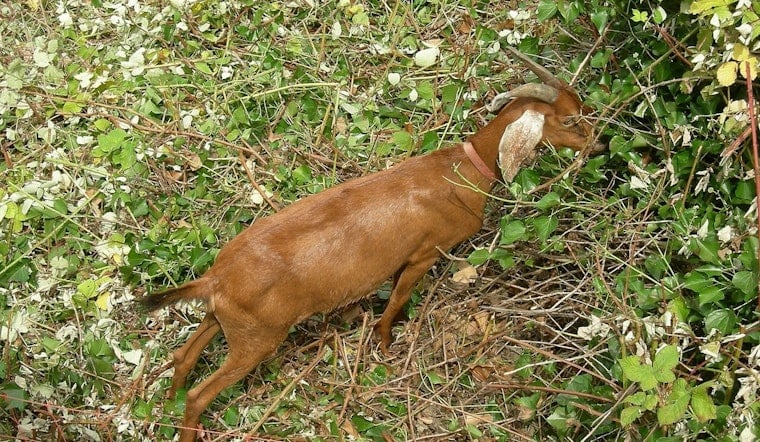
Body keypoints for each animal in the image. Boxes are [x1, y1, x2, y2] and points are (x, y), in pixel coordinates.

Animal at [137, 48, 603, 442]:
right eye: (568, 120)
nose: (599, 144)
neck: (461, 170)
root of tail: (216, 280)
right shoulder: (425, 253)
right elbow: (397, 299)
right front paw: (383, 341)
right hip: (257, 340)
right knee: (201, 394)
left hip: (224, 321)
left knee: (184, 358)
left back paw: (166, 404)